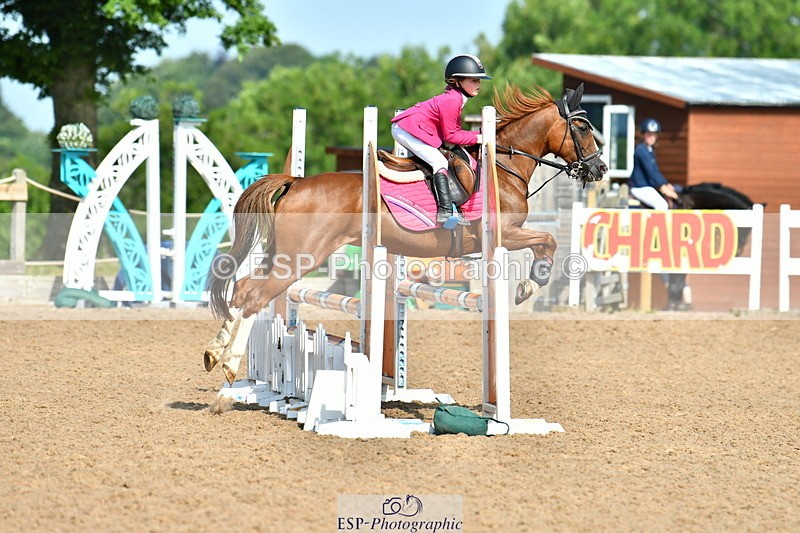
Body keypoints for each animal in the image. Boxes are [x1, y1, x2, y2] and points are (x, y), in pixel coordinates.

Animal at [204, 84, 608, 383]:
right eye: (583, 128)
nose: (600, 168)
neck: (503, 168)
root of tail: (295, 182)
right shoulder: (505, 234)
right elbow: (548, 241)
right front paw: (530, 284)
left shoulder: (508, 235)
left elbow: (546, 242)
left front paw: (529, 283)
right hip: (300, 258)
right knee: (255, 296)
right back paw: (229, 366)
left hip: (284, 255)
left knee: (243, 289)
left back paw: (214, 353)